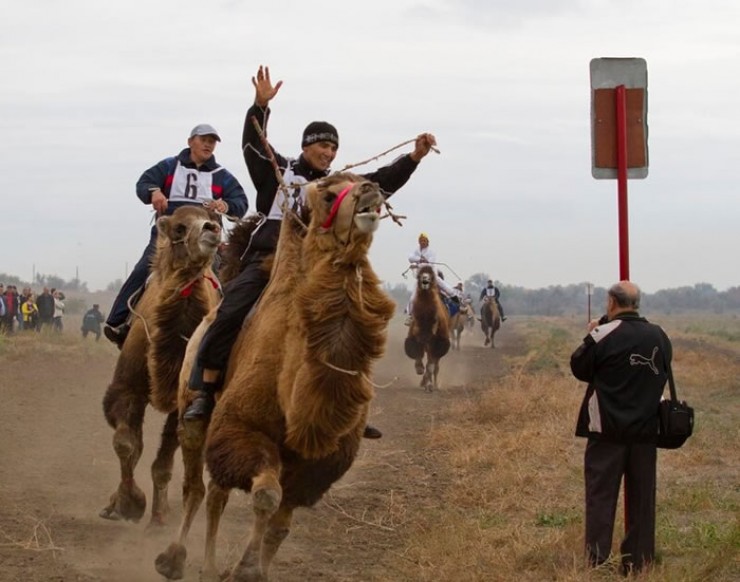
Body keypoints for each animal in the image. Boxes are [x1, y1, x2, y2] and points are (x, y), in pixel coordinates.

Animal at [101, 206, 223, 528]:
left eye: (214, 220)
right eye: (179, 228)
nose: (211, 230)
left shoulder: (183, 403)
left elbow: (162, 461)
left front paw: (156, 514)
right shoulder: (127, 388)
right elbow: (127, 444)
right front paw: (128, 503)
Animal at [153, 173, 396, 582]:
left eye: (368, 181)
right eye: (328, 194)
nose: (371, 190)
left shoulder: (316, 465)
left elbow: (280, 524)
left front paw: (252, 570)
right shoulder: (242, 429)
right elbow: (267, 496)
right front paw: (245, 569)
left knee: (216, 493)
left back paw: (208, 567)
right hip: (194, 417)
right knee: (196, 488)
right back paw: (173, 559)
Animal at [404, 266, 450, 394]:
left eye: (431, 276)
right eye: (420, 275)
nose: (425, 279)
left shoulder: (436, 342)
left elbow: (430, 365)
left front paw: (429, 386)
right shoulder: (416, 337)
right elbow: (416, 354)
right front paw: (419, 368)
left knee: (435, 365)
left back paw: (432, 384)